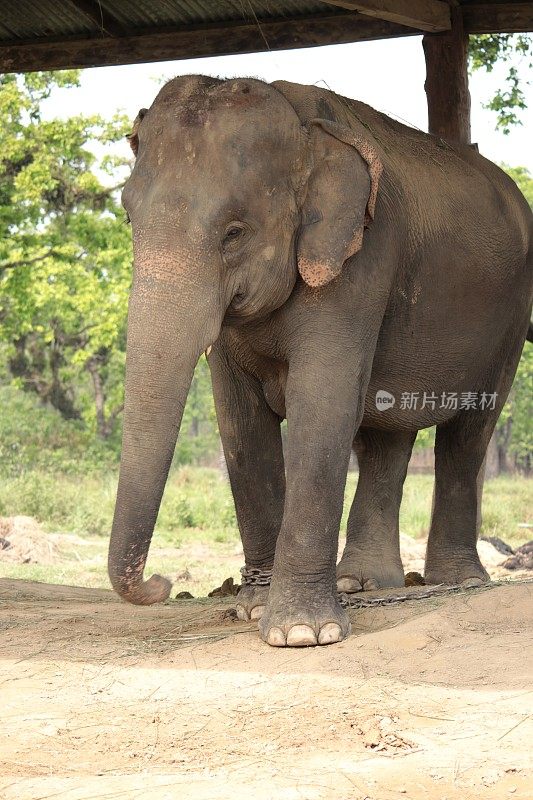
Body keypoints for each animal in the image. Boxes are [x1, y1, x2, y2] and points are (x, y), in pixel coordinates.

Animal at [108, 75, 532, 648]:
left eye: (234, 232)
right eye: (128, 216)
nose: (162, 582)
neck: (301, 127)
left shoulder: (362, 257)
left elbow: (322, 403)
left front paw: (302, 635)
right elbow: (240, 422)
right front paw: (253, 610)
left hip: (509, 319)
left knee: (469, 432)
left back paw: (457, 582)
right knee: (386, 435)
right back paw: (364, 583)